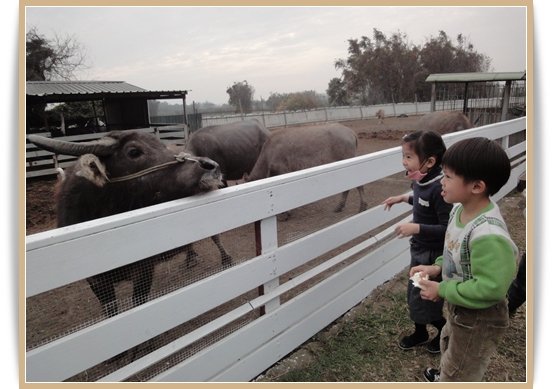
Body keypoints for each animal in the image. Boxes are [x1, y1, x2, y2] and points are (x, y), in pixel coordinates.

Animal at [28, 130, 229, 316]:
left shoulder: (145, 268)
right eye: (133, 151)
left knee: (216, 236)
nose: (210, 166)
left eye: (161, 145)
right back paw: (191, 258)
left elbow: (138, 303)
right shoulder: (96, 281)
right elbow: (111, 312)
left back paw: (226, 260)